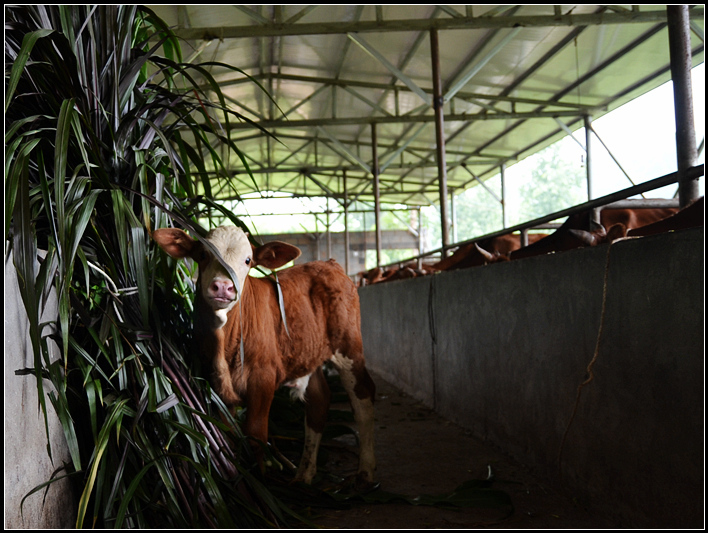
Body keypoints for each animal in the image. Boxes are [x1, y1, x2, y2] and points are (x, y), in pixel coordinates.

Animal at [153, 225, 378, 486]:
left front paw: (262, 478)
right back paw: (304, 475)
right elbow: (227, 433)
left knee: (363, 397)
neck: (224, 346)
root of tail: (329, 263)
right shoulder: (215, 382)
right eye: (202, 254)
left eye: (248, 260)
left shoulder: (263, 377)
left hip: (349, 345)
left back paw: (366, 472)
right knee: (319, 401)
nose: (223, 287)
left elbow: (255, 432)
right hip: (308, 355)